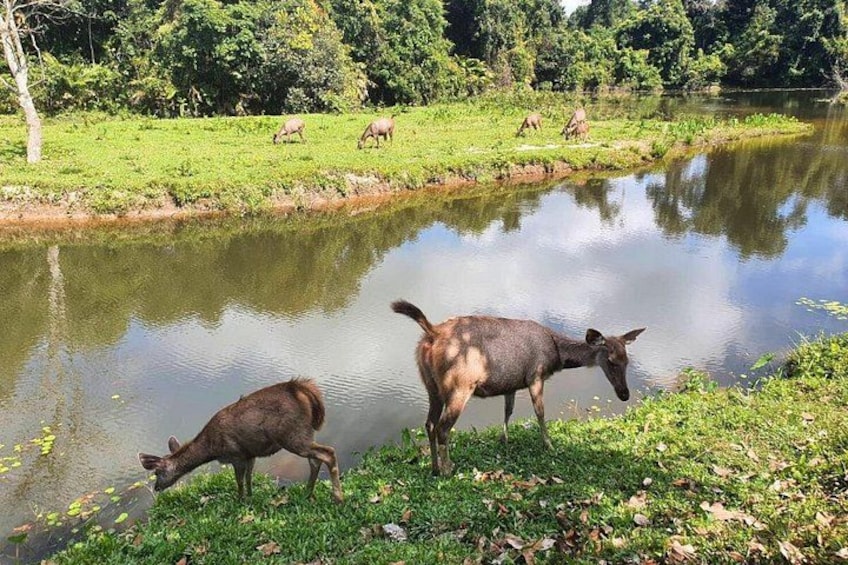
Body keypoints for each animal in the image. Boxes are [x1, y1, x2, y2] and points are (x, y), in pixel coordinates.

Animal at [138, 378, 343, 503]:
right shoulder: (249, 454)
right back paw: (307, 493)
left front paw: (239, 500)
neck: (211, 449)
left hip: (293, 436)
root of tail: (300, 389)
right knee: (315, 460)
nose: (156, 487)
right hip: (304, 435)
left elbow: (239, 481)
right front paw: (251, 497)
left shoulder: (235, 454)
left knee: (329, 452)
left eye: (157, 472)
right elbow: (249, 478)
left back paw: (338, 498)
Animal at [391, 300, 644, 476]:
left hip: (431, 386)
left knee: (429, 424)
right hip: (459, 385)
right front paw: (549, 444)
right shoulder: (535, 375)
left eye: (627, 360)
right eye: (611, 361)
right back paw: (447, 469)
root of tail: (432, 333)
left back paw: (434, 468)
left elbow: (508, 411)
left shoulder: (511, 383)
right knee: (443, 427)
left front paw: (504, 439)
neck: (556, 356)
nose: (624, 394)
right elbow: (540, 412)